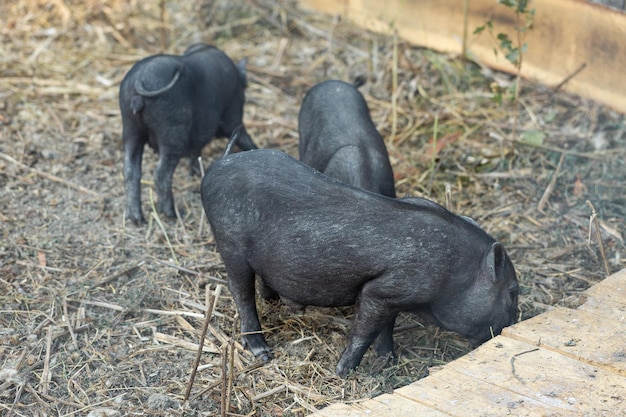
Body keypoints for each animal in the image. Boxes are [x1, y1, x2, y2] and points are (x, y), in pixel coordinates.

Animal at [118, 43, 255, 223]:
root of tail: (139, 81)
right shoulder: (233, 116)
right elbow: (243, 136)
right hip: (172, 134)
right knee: (161, 174)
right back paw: (173, 214)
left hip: (130, 128)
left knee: (130, 170)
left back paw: (137, 219)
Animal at [200, 150, 516, 376]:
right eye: (512, 292)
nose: (511, 324)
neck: (456, 272)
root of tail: (212, 171)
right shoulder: (382, 291)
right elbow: (364, 331)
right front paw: (343, 373)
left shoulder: (393, 297)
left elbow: (386, 328)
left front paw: (388, 360)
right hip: (230, 245)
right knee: (240, 293)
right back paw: (262, 351)